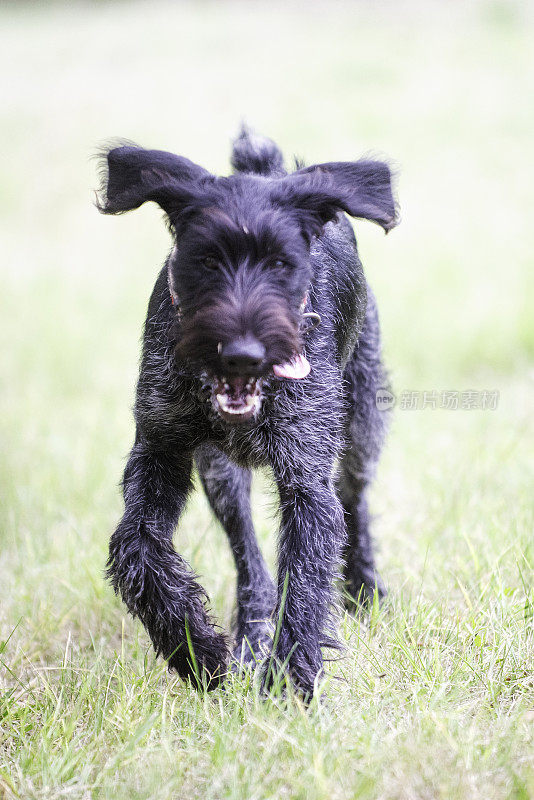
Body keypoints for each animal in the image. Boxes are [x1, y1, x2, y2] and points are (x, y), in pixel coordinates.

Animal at [96, 128, 400, 696]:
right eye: (206, 261)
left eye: (282, 263)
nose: (241, 353)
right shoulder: (159, 449)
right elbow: (135, 548)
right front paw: (199, 652)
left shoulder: (306, 471)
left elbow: (305, 578)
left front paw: (289, 686)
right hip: (219, 473)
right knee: (251, 563)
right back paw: (249, 632)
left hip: (360, 424)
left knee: (354, 503)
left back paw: (365, 590)